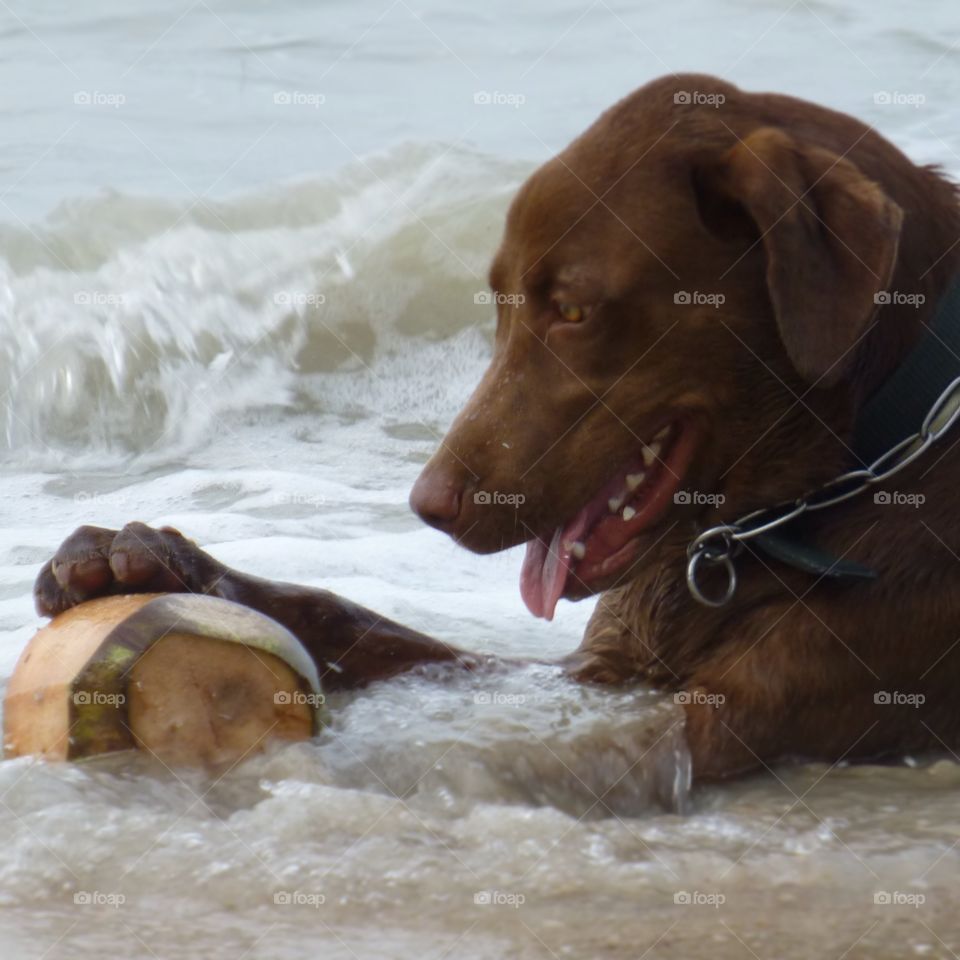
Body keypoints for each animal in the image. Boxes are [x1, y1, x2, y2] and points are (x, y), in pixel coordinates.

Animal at [33, 75, 960, 780]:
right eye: (502, 303)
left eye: (574, 310)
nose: (428, 505)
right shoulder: (583, 676)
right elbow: (346, 615)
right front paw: (149, 558)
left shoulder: (718, 719)